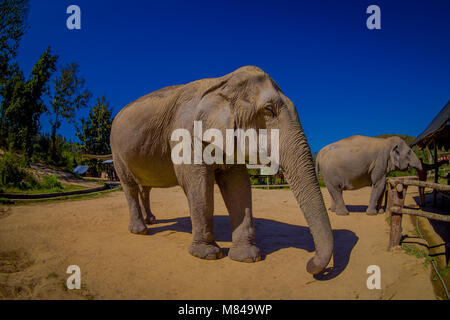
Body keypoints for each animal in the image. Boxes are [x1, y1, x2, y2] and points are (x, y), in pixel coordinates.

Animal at [110, 65, 334, 276]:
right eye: (268, 110)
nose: (311, 265)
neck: (222, 82)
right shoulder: (186, 133)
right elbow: (197, 182)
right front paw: (208, 254)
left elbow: (237, 183)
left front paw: (247, 257)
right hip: (116, 151)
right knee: (129, 186)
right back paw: (140, 230)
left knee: (144, 188)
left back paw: (151, 220)